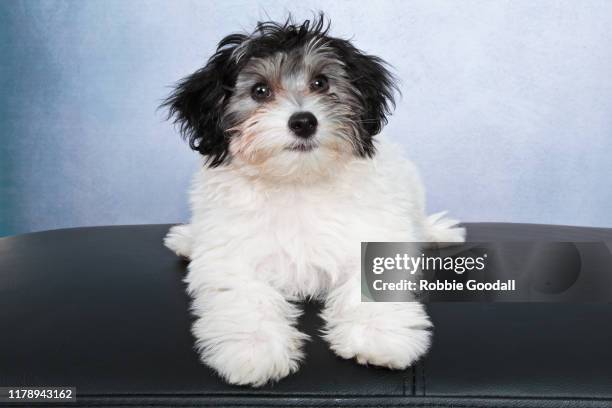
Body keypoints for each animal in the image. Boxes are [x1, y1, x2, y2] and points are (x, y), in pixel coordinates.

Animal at [163, 15, 464, 386]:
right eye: (259, 91)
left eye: (321, 82)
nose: (304, 121)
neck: (298, 181)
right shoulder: (229, 255)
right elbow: (245, 295)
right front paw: (255, 347)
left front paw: (377, 333)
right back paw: (185, 239)